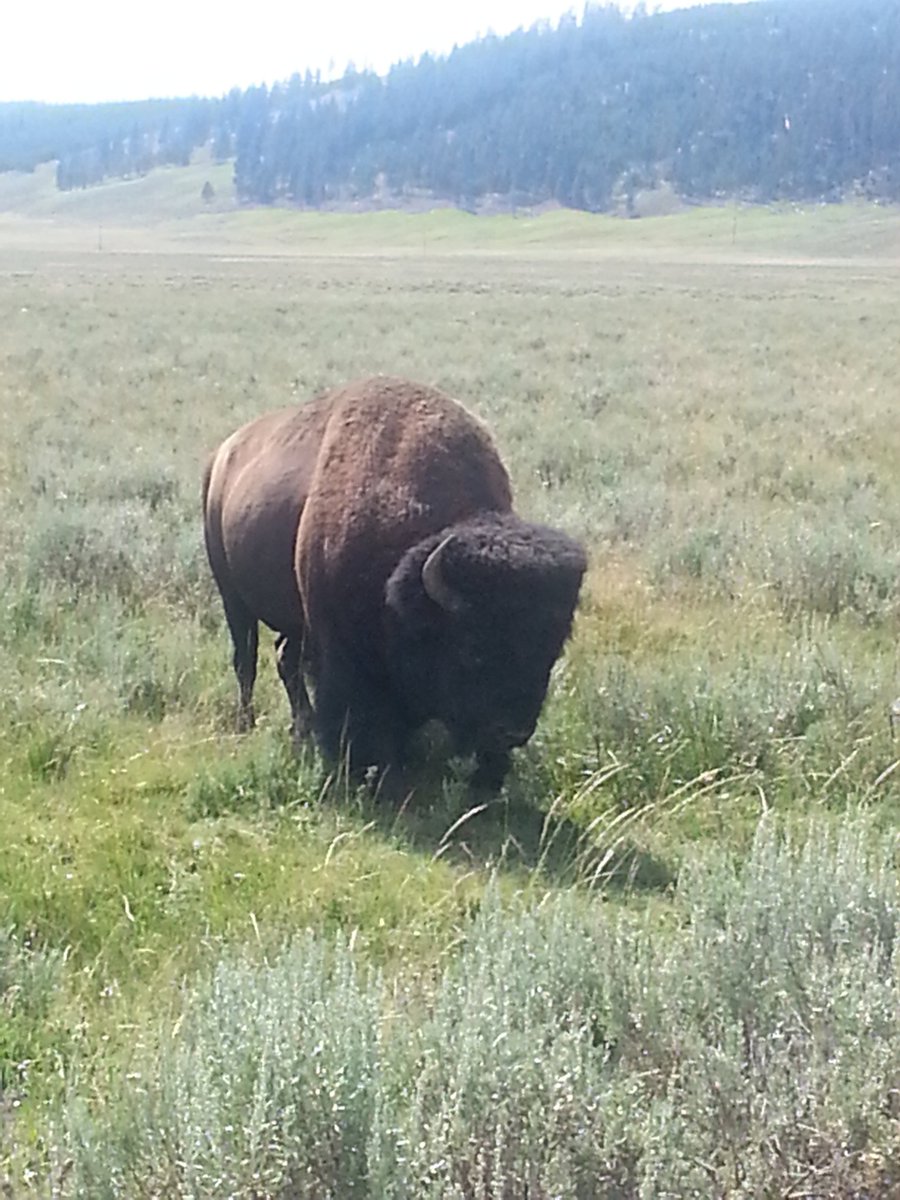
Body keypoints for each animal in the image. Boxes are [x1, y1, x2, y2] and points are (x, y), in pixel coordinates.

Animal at [203, 376, 586, 792]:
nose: (512, 731)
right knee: (246, 660)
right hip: (232, 597)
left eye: (552, 650)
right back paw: (248, 724)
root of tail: (222, 454)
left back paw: (301, 729)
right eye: (471, 650)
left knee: (285, 658)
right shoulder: (339, 651)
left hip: (292, 619)